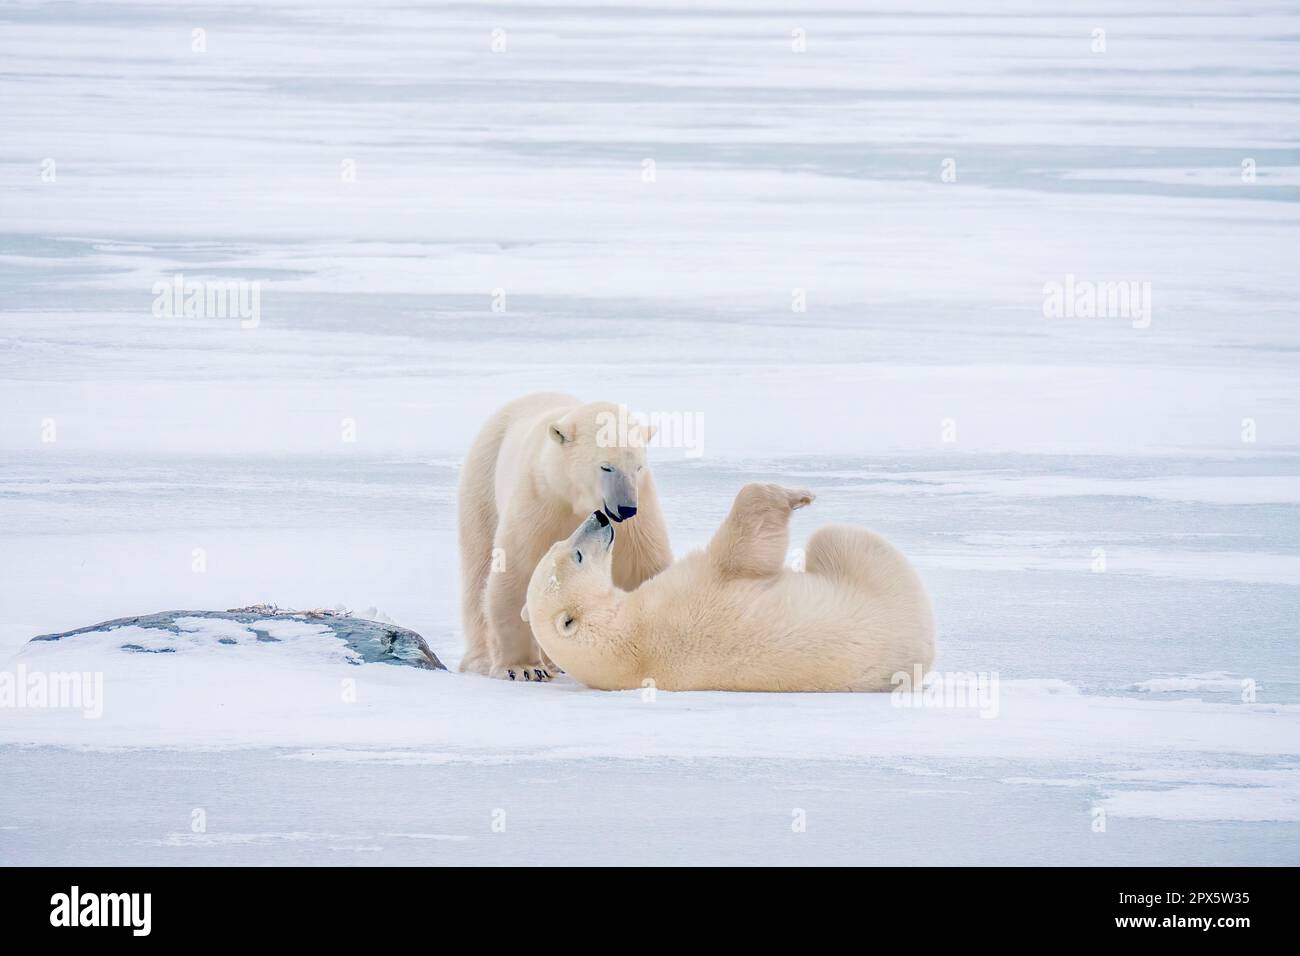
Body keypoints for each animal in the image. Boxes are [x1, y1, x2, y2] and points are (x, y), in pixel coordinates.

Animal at [457, 395, 676, 681]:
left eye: (638, 467)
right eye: (606, 466)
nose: (626, 508)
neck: (575, 496)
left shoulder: (640, 514)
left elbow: (643, 568)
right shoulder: (540, 499)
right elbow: (517, 569)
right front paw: (523, 668)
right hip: (483, 480)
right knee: (478, 566)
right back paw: (480, 661)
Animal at [520, 481, 935, 691]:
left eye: (561, 546)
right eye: (576, 555)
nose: (600, 517)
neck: (624, 645)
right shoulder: (686, 593)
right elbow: (744, 547)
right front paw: (796, 495)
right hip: (881, 577)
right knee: (835, 537)